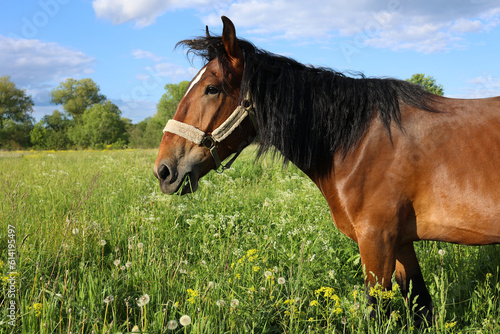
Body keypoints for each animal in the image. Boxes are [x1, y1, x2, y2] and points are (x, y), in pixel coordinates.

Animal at [153, 16, 500, 326]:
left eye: (212, 88)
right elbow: (421, 307)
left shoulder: (377, 240)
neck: (358, 139)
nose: (164, 171)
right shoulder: (401, 241)